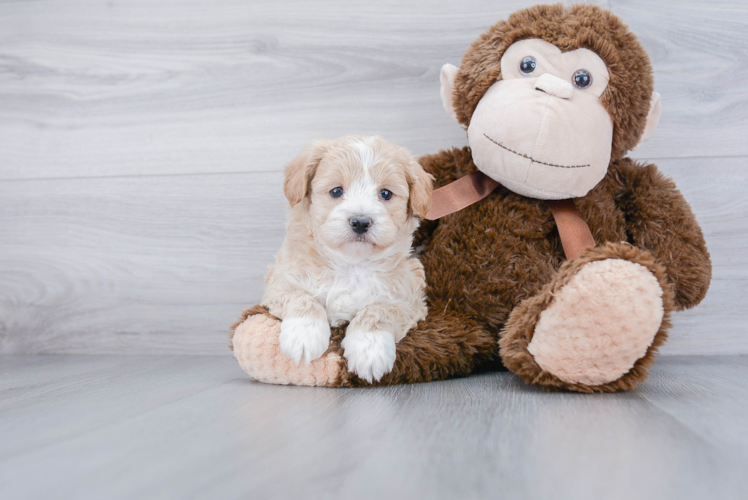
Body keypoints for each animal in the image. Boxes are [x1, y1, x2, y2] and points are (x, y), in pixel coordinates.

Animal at [262, 135, 436, 380]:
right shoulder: (280, 280)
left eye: (385, 194)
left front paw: (370, 350)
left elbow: (378, 311)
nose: (360, 222)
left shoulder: (409, 297)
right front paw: (304, 335)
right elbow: (302, 298)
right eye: (336, 191)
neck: (351, 264)